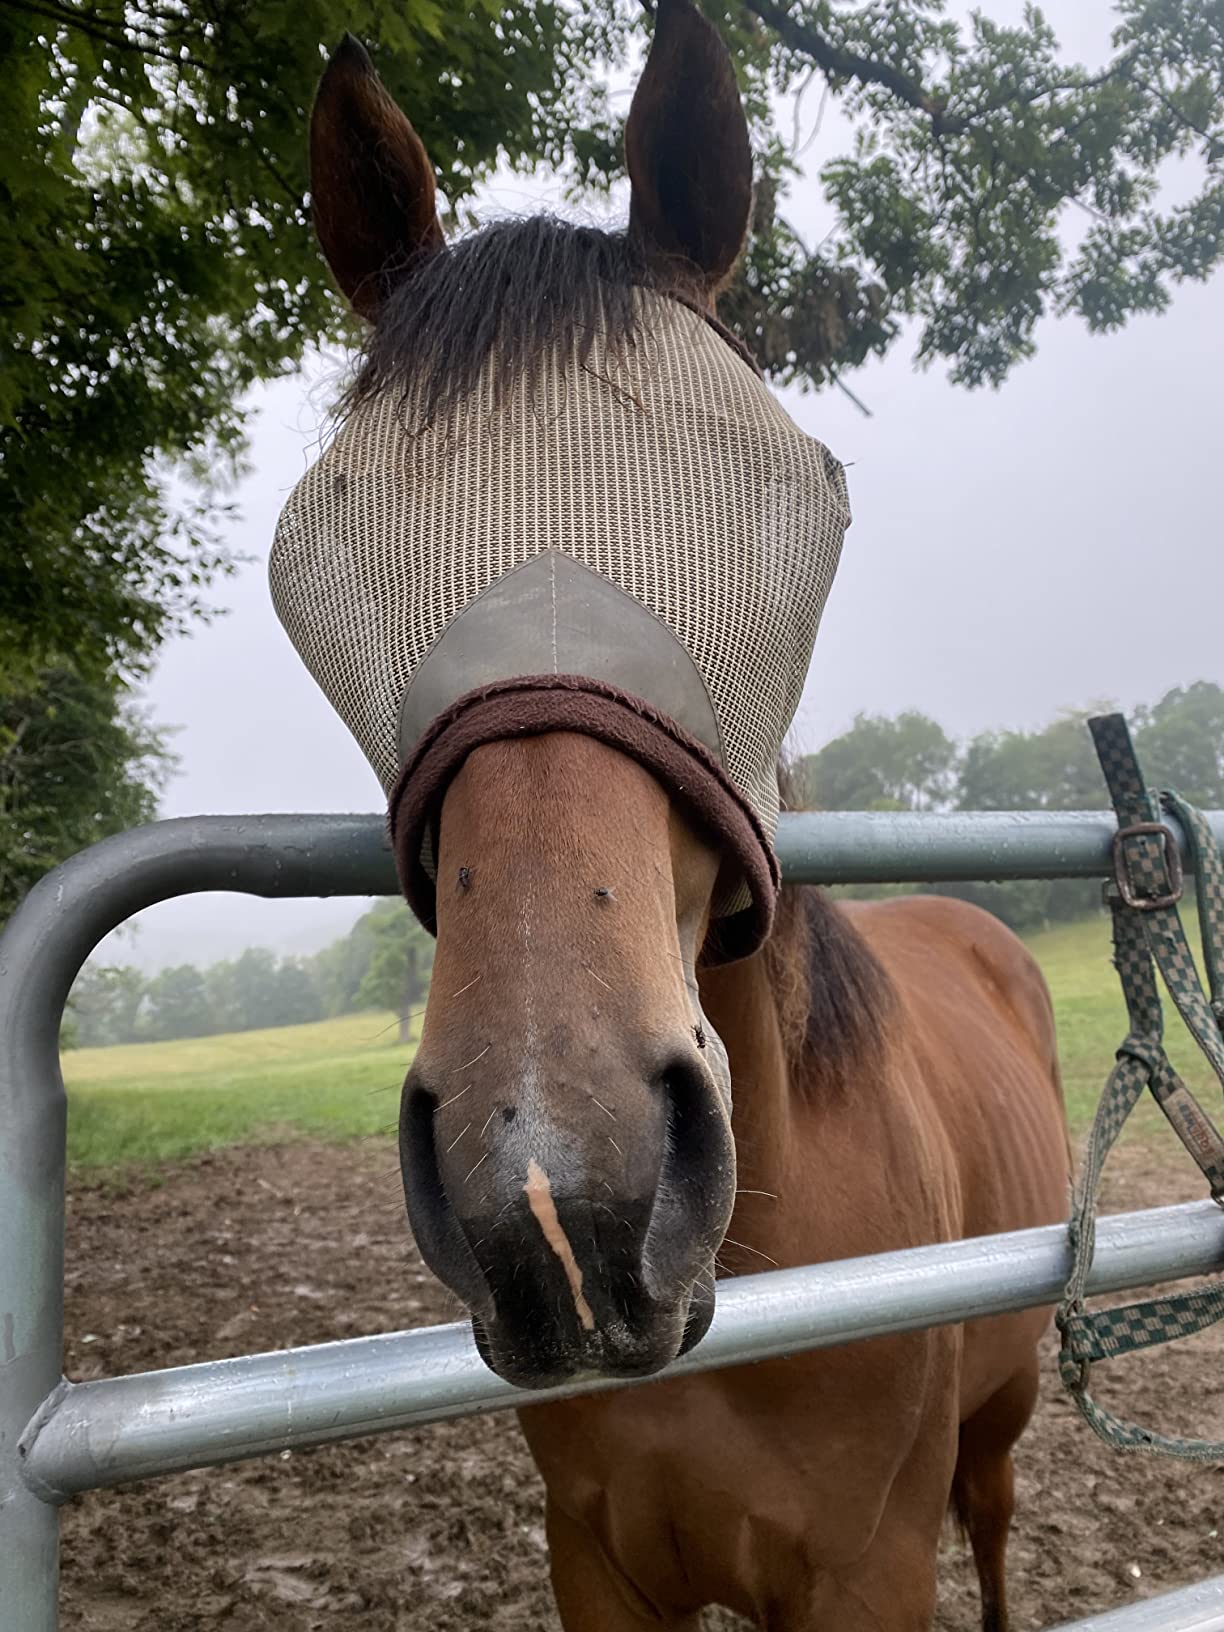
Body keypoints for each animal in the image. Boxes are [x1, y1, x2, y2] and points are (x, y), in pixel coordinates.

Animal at [300, 7, 1071, 1627]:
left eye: (801, 506)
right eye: (324, 548)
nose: (557, 1198)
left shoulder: (865, 1572)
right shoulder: (597, 1560)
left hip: (1005, 1410)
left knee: (993, 1517)